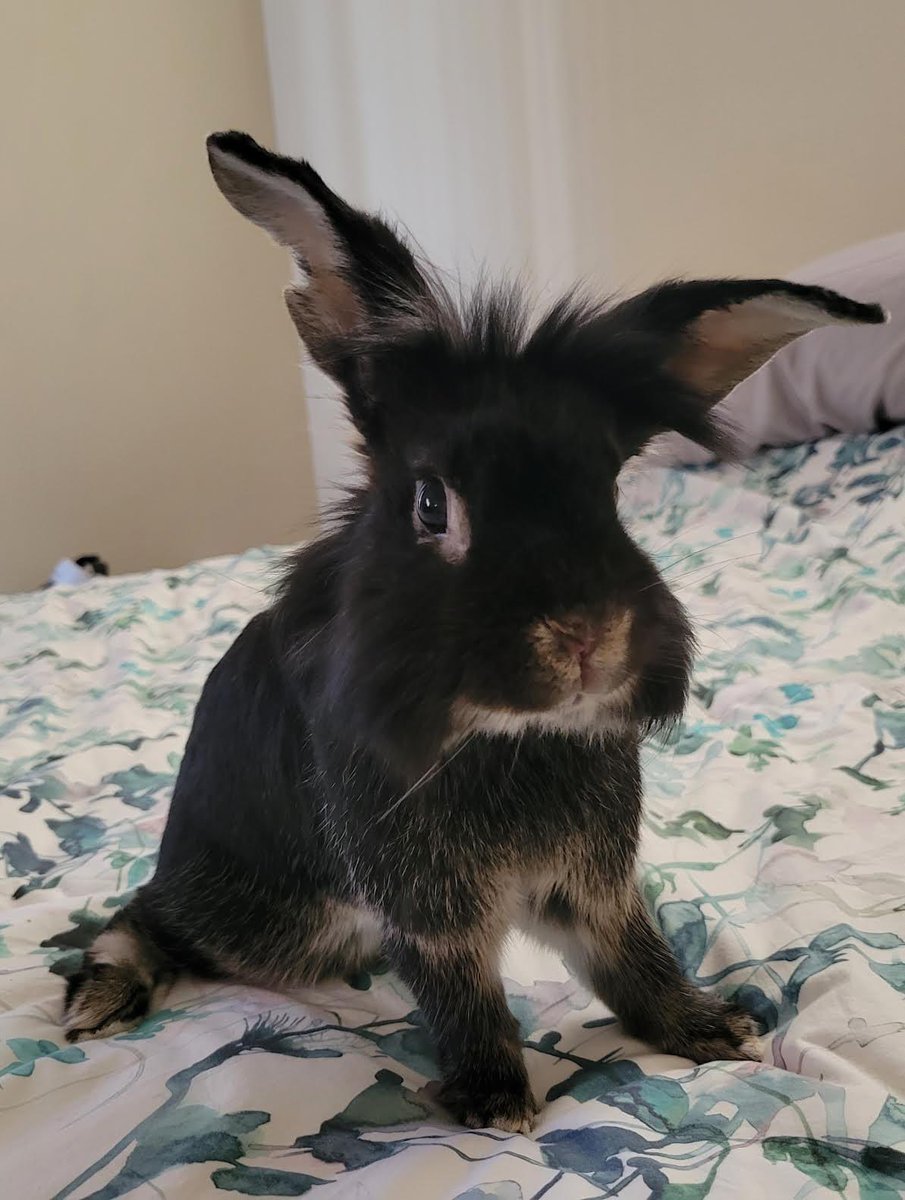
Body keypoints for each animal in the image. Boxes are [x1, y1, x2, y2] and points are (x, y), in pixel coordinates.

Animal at [61, 131, 884, 1133]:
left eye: (610, 491)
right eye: (429, 504)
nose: (585, 638)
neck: (514, 735)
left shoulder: (590, 886)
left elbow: (635, 955)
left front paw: (708, 1027)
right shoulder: (427, 906)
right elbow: (463, 992)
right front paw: (496, 1102)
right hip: (271, 920)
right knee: (143, 915)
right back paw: (101, 996)